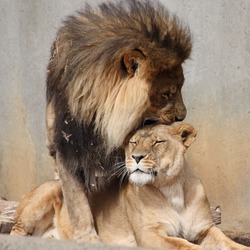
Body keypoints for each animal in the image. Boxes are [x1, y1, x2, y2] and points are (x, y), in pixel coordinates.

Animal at [46, 0, 191, 242]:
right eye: (166, 95)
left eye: (180, 88)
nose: (183, 116)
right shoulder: (66, 148)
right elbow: (77, 201)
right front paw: (87, 237)